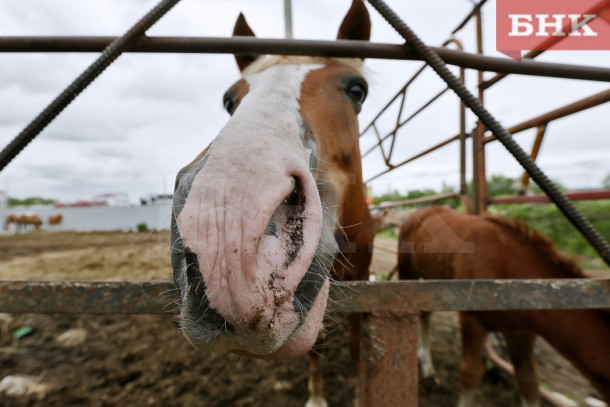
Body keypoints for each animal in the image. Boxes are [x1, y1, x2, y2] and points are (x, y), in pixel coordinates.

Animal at [169, 1, 372, 406]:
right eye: (229, 100)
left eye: (358, 90)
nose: (224, 225)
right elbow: (316, 346)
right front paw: (317, 397)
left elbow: (359, 347)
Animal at [396, 207, 604, 407]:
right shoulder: (471, 321)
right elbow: (470, 374)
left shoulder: (521, 333)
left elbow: (528, 382)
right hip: (408, 273)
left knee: (426, 313)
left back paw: (427, 366)